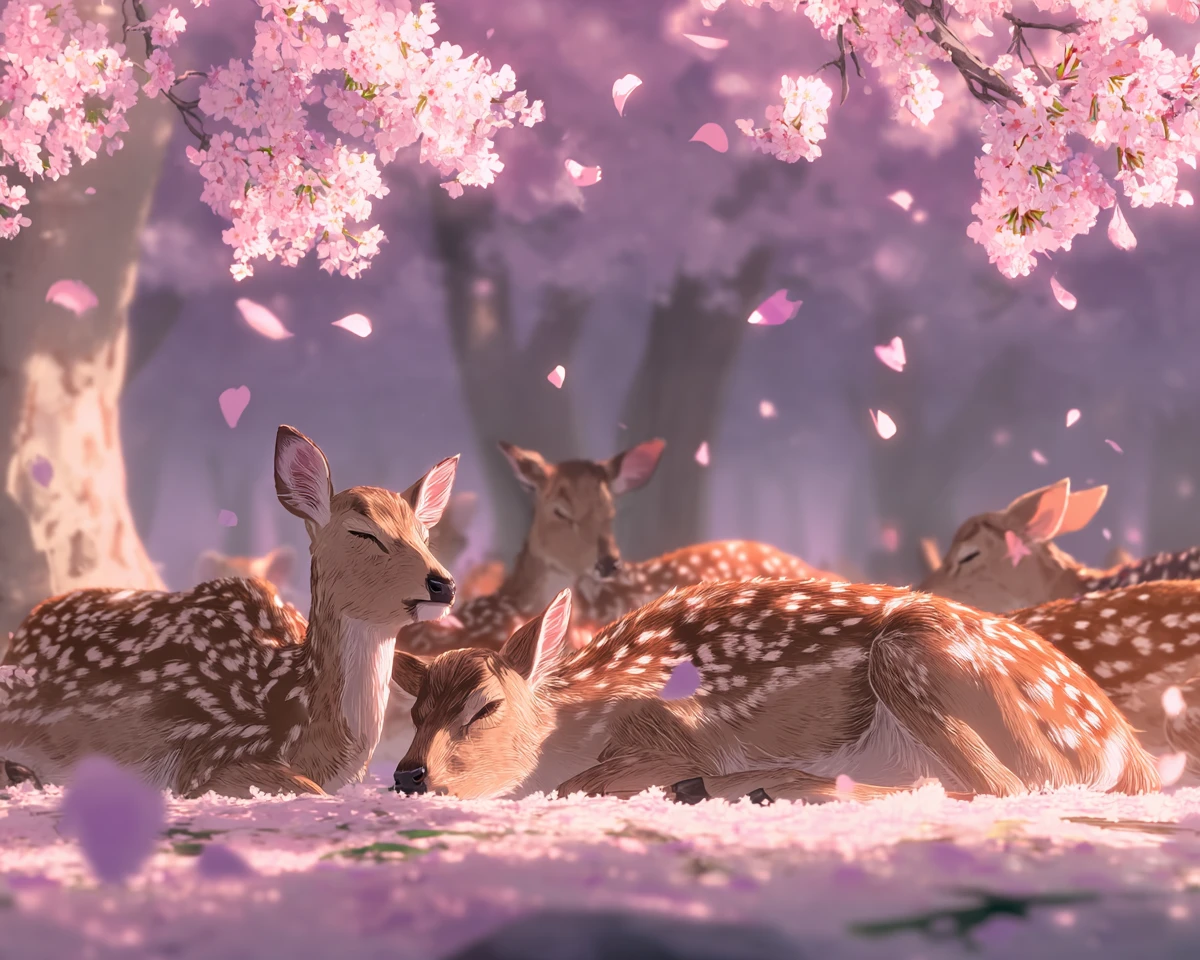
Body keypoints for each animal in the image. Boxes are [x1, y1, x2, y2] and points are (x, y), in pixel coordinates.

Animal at [389, 580, 1159, 805]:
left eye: (486, 707)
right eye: (415, 710)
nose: (407, 774)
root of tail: (1131, 754)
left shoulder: (679, 731)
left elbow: (586, 780)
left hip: (912, 656)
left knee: (999, 787)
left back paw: (760, 786)